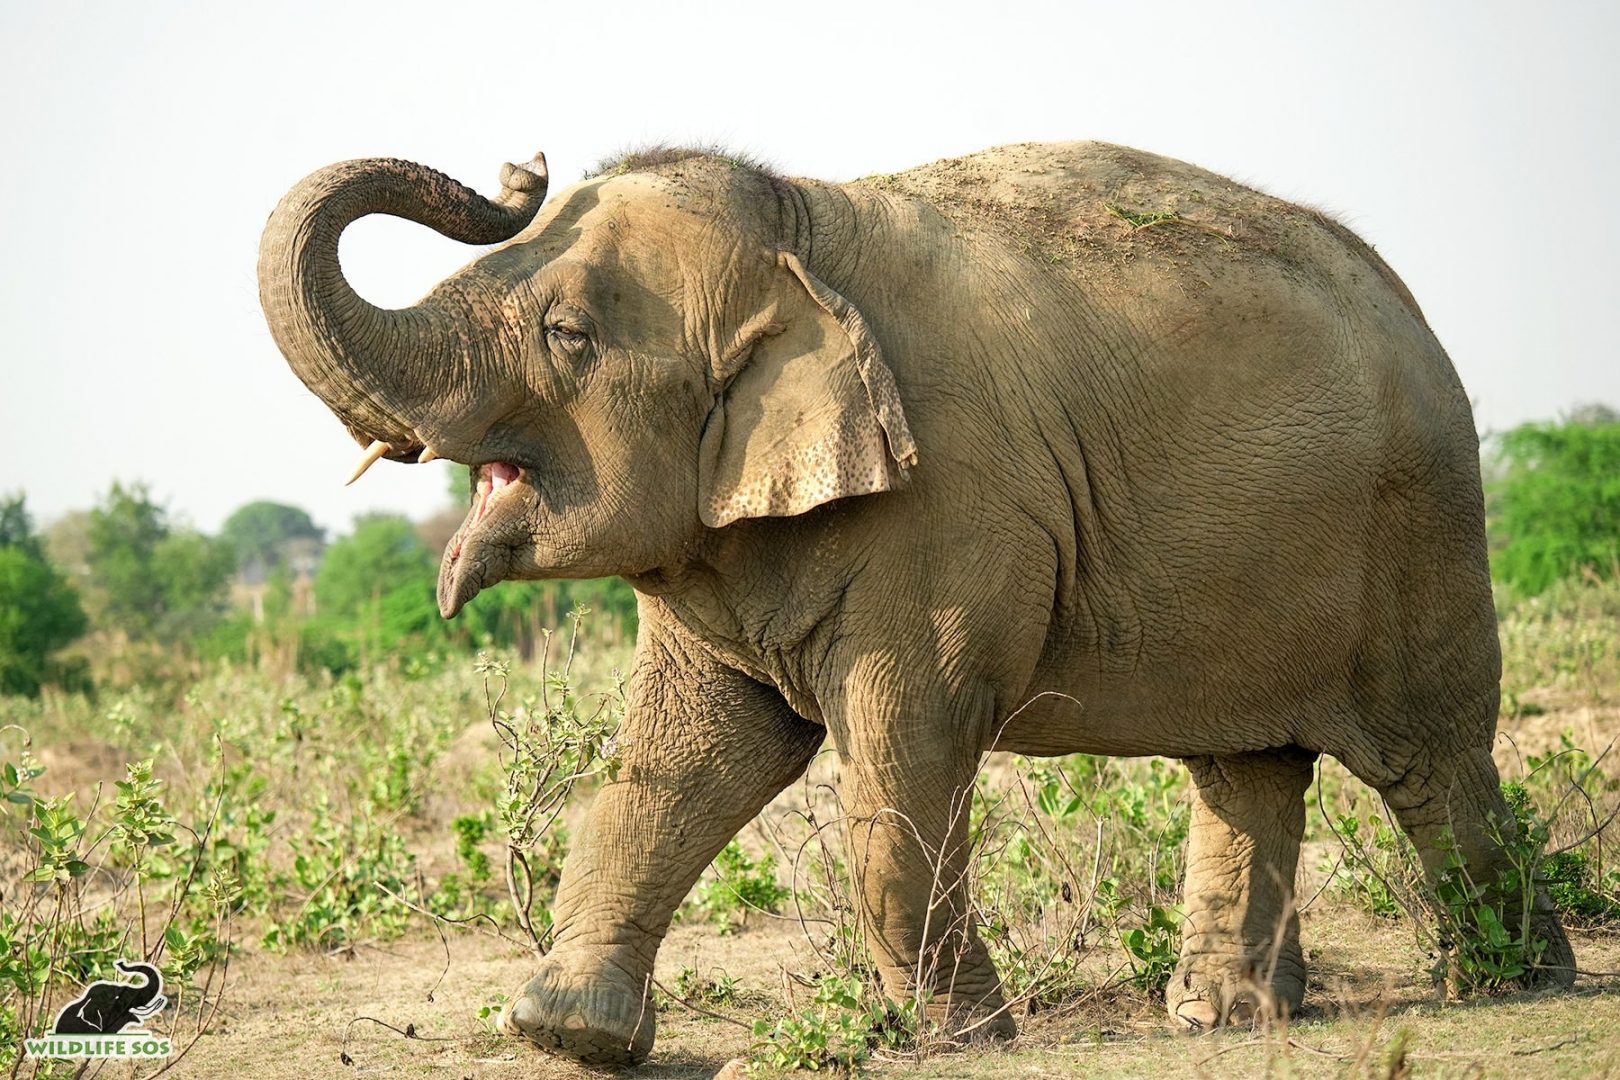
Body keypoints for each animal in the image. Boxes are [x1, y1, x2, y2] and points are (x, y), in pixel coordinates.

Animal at [259, 141, 1574, 1062]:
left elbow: (904, 739)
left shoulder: (952, 505)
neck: (797, 224)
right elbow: (686, 757)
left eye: (567, 334)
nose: (520, 170)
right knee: (1247, 766)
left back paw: (1517, 981)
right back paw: (1222, 1018)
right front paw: (562, 1034)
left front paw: (951, 1041)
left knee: (1429, 759)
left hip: (1418, 529)